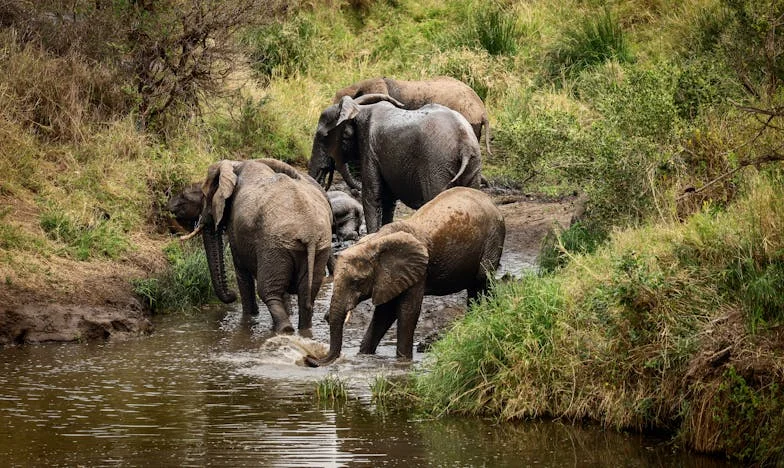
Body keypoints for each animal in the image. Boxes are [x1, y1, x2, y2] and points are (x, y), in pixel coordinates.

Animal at [187, 159, 334, 334]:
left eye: (204, 196)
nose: (232, 295)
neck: (236, 165)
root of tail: (309, 235)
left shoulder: (235, 228)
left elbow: (242, 272)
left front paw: (249, 318)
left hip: (274, 247)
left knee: (268, 292)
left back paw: (284, 330)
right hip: (319, 248)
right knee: (306, 295)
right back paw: (302, 330)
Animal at [304, 186, 506, 366]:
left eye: (357, 282)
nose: (309, 359)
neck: (376, 242)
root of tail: (491, 201)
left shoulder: (417, 271)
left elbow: (406, 311)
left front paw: (403, 362)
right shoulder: (388, 277)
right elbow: (384, 313)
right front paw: (364, 356)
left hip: (494, 237)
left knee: (483, 279)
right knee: (474, 287)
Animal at [308, 94, 484, 234]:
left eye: (322, 137)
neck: (358, 110)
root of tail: (465, 144)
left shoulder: (369, 149)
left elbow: (372, 196)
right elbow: (388, 201)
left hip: (436, 164)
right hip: (473, 163)